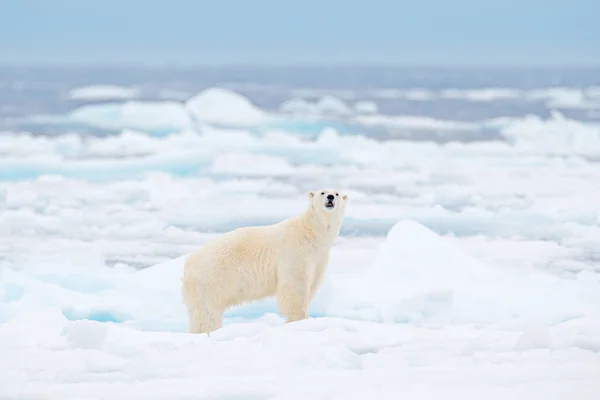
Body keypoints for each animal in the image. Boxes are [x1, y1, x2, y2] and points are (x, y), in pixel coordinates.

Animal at [180, 189, 350, 332]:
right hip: (210, 280)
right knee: (207, 311)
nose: (330, 197)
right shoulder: (296, 251)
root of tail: (188, 264)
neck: (311, 232)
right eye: (322, 192)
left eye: (337, 193)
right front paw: (299, 318)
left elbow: (312, 282)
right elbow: (295, 283)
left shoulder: (318, 257)